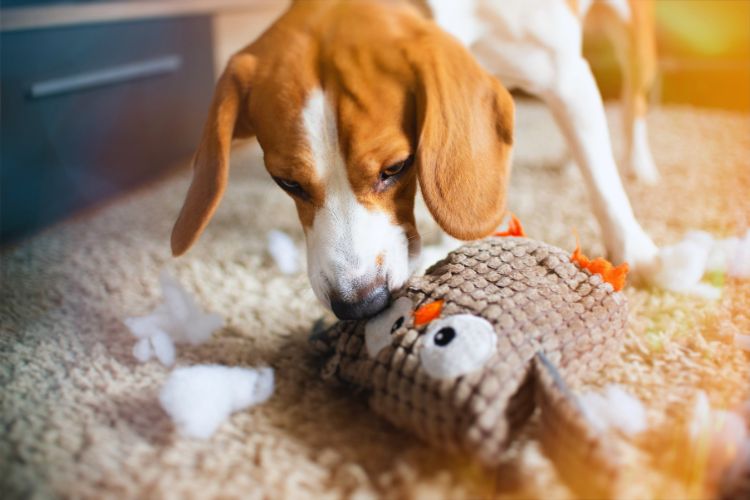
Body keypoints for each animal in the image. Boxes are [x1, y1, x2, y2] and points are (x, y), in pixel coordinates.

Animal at [172, 0, 664, 320]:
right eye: (287, 183)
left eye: (396, 168)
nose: (360, 306)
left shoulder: (566, 76)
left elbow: (603, 181)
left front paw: (636, 254)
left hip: (633, 38)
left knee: (634, 103)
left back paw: (639, 163)